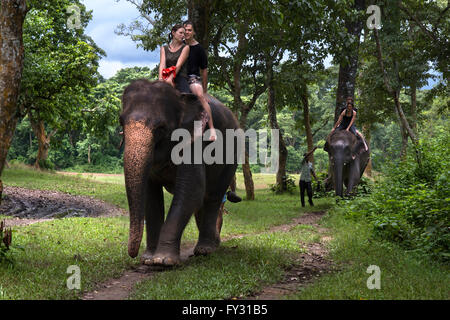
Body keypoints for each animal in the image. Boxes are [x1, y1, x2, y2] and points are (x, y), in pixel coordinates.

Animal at [119, 79, 239, 266]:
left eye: (161, 128)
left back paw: (205, 249)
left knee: (213, 197)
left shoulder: (195, 143)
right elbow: (151, 196)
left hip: (232, 157)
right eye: (120, 122)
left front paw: (163, 260)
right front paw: (148, 259)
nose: (133, 254)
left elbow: (191, 191)